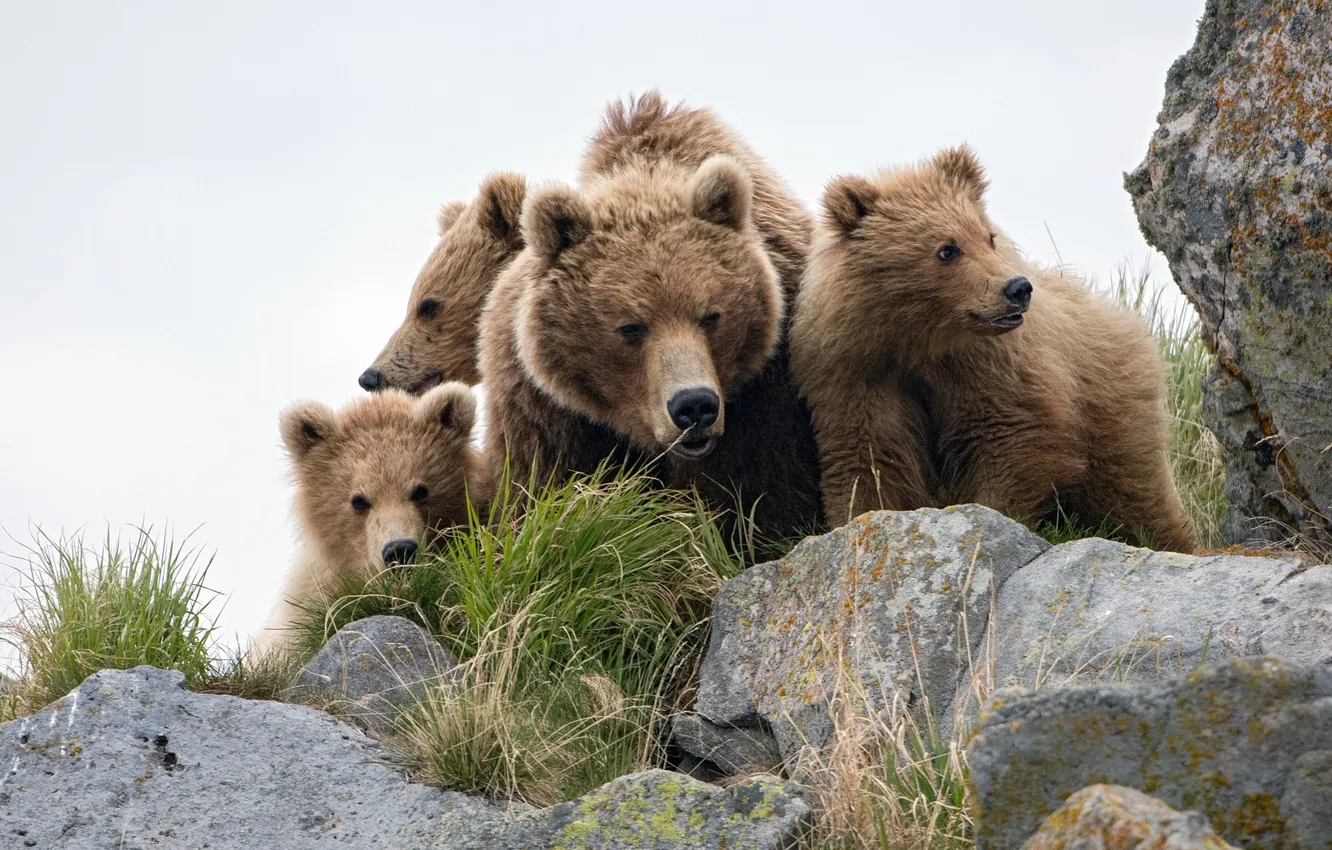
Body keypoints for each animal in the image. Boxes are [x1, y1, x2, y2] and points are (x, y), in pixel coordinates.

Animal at [479, 92, 823, 540]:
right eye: (630, 327)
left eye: (711, 315)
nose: (694, 406)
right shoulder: (547, 411)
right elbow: (541, 493)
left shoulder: (768, 398)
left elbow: (769, 497)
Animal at [789, 146, 1195, 551]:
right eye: (947, 249)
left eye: (988, 237)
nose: (1017, 288)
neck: (921, 340)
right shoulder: (857, 371)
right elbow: (871, 455)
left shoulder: (990, 364)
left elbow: (1007, 434)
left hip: (1110, 406)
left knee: (1133, 489)